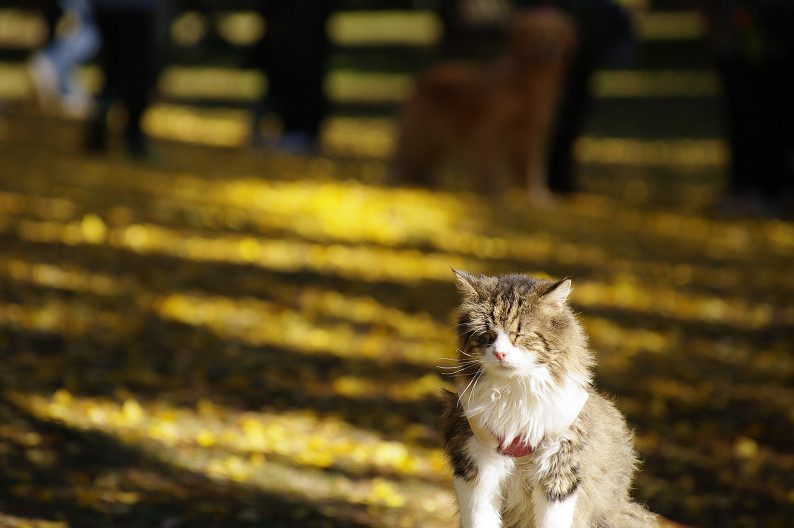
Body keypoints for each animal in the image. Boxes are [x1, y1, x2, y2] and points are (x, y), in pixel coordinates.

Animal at [392, 7, 572, 201]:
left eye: (556, 35)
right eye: (536, 35)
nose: (548, 54)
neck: (528, 83)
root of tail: (422, 76)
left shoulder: (531, 135)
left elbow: (531, 170)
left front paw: (536, 197)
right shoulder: (489, 131)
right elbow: (490, 167)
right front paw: (494, 195)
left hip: (436, 139)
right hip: (420, 135)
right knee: (403, 162)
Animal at [440, 272, 656, 528]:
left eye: (518, 335)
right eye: (488, 335)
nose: (500, 353)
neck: (514, 394)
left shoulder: (559, 470)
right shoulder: (475, 468)